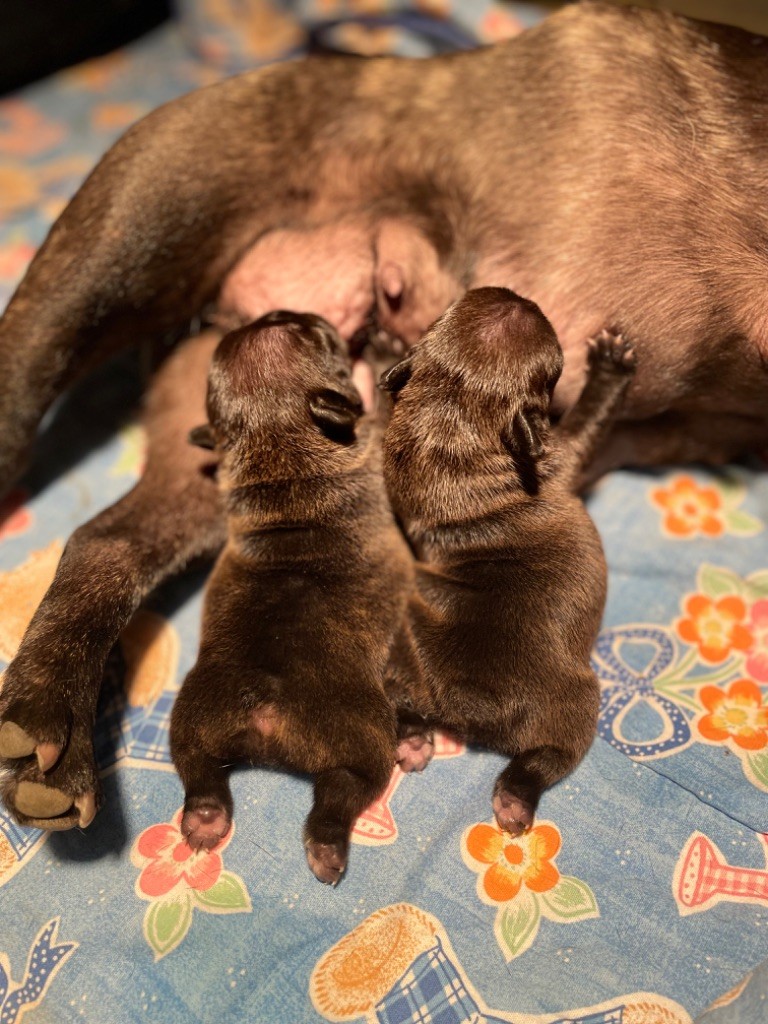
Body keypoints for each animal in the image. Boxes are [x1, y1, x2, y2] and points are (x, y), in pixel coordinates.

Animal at [168, 307, 415, 884]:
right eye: (317, 334)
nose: (278, 311)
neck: (275, 441)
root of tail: (266, 709)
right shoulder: (375, 439)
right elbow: (384, 410)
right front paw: (383, 356)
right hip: (364, 734)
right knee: (343, 790)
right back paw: (327, 846)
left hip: (194, 713)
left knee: (197, 767)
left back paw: (206, 818)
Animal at [380, 288, 638, 831]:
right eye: (554, 371)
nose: (520, 296)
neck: (450, 416)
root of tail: (465, 705)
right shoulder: (565, 452)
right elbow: (592, 419)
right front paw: (611, 366)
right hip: (576, 703)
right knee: (548, 756)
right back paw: (516, 799)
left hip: (399, 659)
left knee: (398, 702)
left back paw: (411, 741)